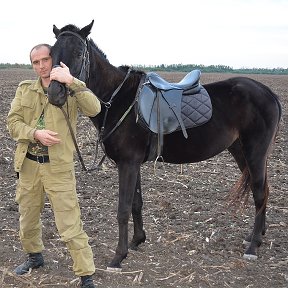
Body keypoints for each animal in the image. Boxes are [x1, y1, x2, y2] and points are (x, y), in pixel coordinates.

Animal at [49, 20, 282, 270]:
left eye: (78, 53)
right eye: (51, 53)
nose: (54, 92)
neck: (119, 99)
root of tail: (268, 93)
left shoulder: (128, 163)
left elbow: (123, 209)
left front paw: (118, 256)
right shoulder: (132, 164)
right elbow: (136, 203)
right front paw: (137, 240)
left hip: (255, 152)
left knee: (259, 193)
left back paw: (253, 246)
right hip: (241, 151)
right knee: (264, 190)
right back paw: (256, 236)